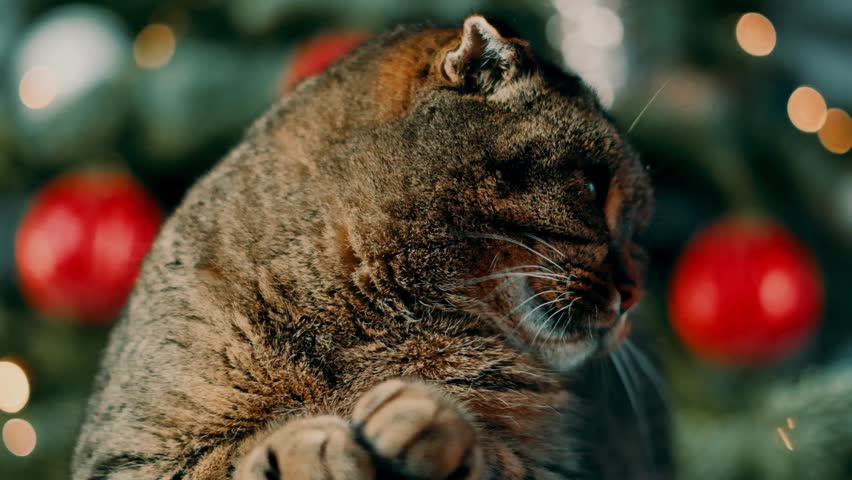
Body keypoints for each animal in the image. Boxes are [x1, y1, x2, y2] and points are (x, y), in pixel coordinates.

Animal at [71, 15, 664, 480]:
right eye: (592, 187)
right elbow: (221, 460)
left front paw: (437, 423)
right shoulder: (129, 455)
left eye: (640, 233)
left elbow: (503, 458)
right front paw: (300, 447)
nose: (635, 293)